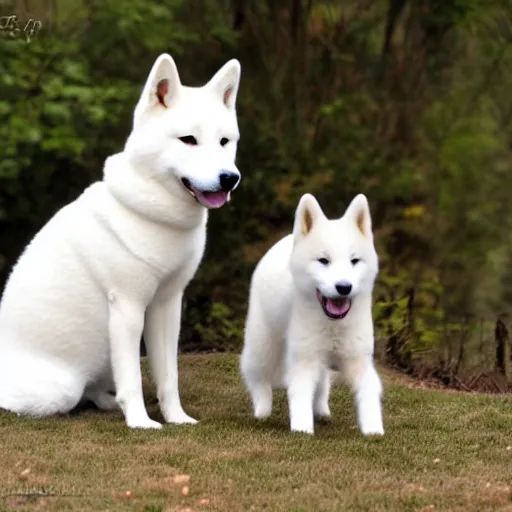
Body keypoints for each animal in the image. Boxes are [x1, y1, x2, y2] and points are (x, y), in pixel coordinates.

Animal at [0, 53, 243, 428]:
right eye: (188, 139)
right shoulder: (128, 307)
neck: (155, 212)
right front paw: (141, 423)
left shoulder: (167, 304)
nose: (230, 178)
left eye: (224, 142)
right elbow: (132, 377)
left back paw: (108, 402)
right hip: (61, 387)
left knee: (94, 391)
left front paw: (176, 418)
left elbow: (168, 376)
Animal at [241, 194, 384, 434]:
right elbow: (300, 395)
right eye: (323, 261)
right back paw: (262, 409)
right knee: (255, 374)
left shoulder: (359, 360)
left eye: (354, 261)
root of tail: (285, 240)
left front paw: (374, 430)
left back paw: (321, 410)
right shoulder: (304, 360)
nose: (343, 287)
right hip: (264, 344)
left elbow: (368, 394)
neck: (332, 324)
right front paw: (302, 430)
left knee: (322, 383)